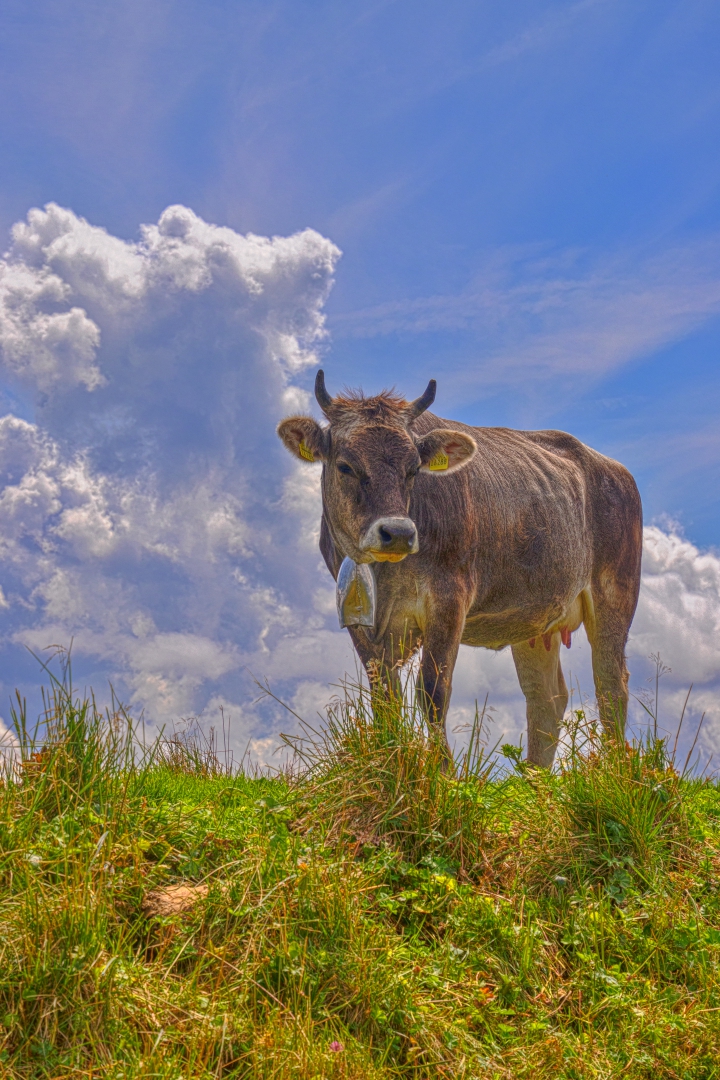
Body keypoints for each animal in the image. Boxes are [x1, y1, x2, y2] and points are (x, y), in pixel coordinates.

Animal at [278, 371, 643, 768]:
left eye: (413, 469)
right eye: (345, 465)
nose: (398, 533)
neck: (385, 574)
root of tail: (612, 467)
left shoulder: (449, 599)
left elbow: (433, 692)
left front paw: (443, 770)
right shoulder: (361, 619)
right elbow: (384, 697)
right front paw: (390, 760)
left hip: (614, 597)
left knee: (611, 688)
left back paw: (616, 769)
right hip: (534, 622)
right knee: (545, 699)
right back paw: (534, 779)